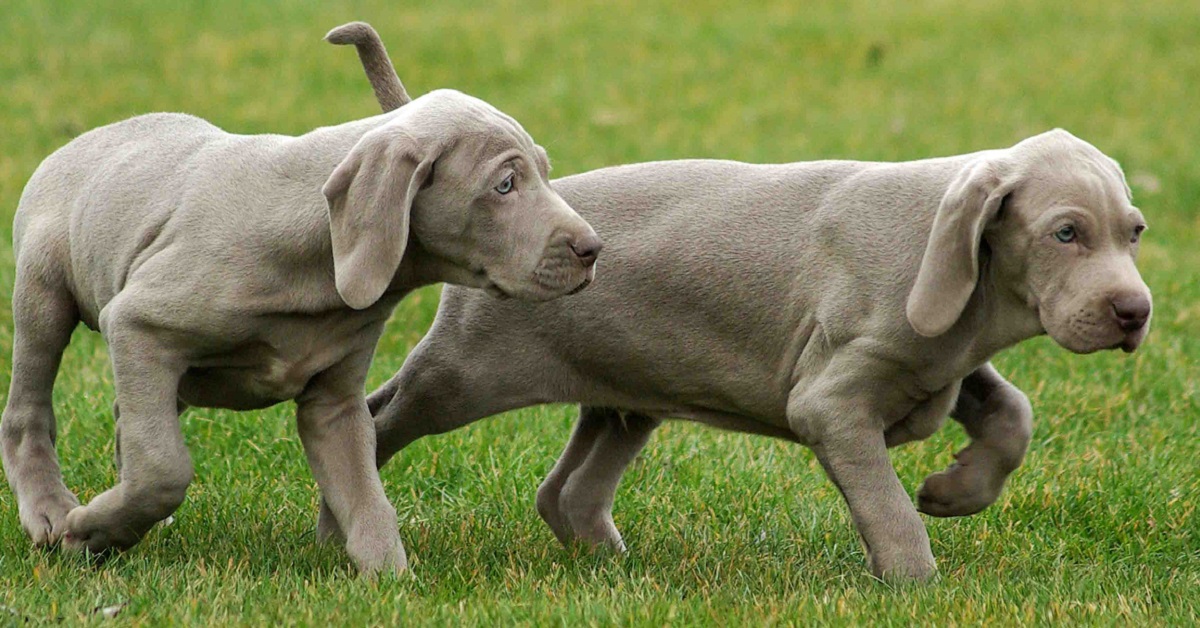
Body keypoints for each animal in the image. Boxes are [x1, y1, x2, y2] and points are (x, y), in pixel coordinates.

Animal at [0, 22, 600, 578]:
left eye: (544, 173)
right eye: (505, 185)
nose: (594, 249)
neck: (314, 262)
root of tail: (84, 140)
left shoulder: (332, 404)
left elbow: (366, 499)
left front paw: (391, 584)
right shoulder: (138, 323)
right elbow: (164, 468)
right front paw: (88, 531)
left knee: (133, 417)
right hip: (43, 294)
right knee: (28, 411)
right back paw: (51, 511)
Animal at [324, 25, 1147, 585]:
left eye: (1134, 232)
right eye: (1065, 233)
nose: (1135, 312)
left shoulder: (942, 360)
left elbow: (1013, 413)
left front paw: (955, 491)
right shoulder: (832, 400)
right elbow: (886, 505)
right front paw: (917, 582)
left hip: (630, 390)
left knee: (567, 492)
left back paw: (616, 568)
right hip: (466, 371)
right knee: (374, 421)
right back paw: (340, 532)